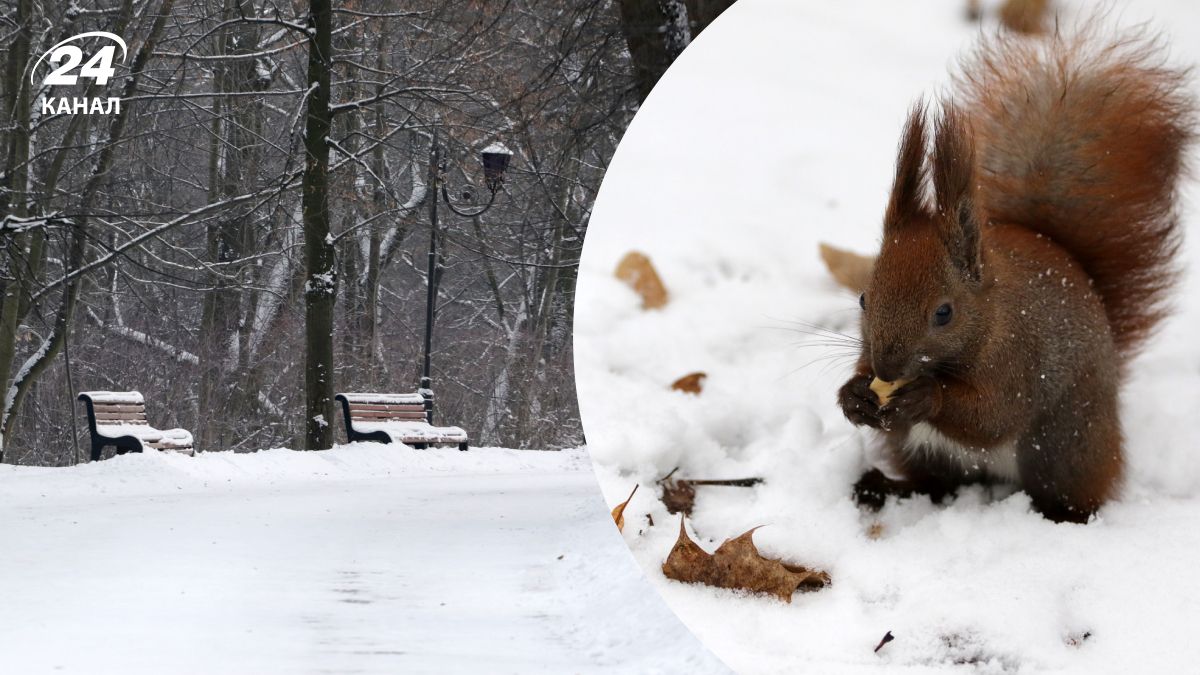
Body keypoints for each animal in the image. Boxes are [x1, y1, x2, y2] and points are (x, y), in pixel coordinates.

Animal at [840, 27, 1195, 521]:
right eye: (862, 299)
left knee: (1068, 488)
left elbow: (994, 415)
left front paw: (926, 396)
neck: (989, 317)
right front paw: (853, 394)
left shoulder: (1017, 359)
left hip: (1062, 443)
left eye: (944, 313)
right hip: (920, 449)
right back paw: (885, 489)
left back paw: (1063, 517)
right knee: (936, 483)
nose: (887, 368)